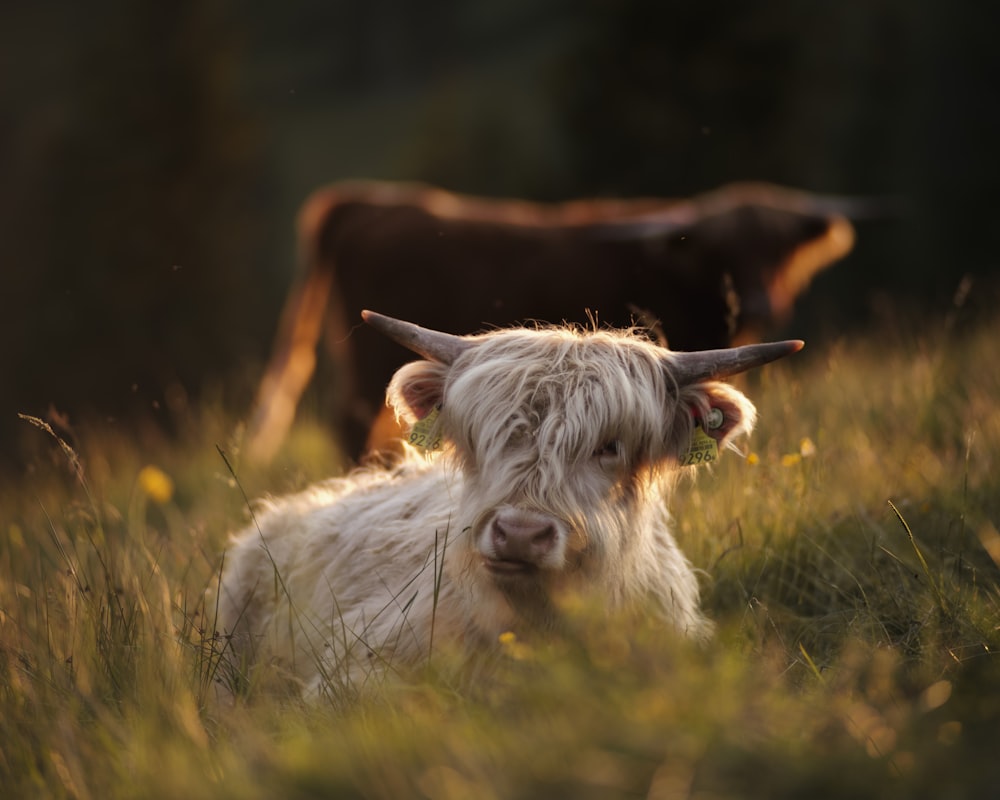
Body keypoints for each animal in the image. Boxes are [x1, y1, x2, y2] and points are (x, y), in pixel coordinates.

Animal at [246, 178, 856, 460]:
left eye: (779, 249)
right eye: (723, 252)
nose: (761, 304)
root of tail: (364, 200)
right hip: (368, 358)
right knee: (354, 425)